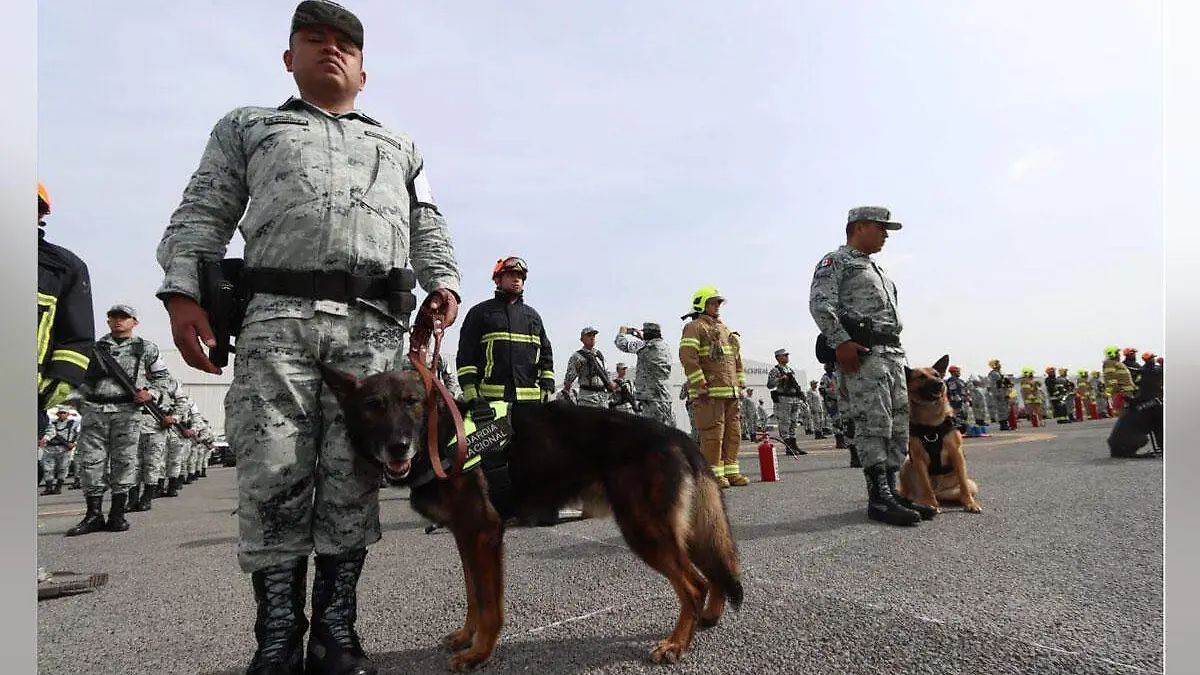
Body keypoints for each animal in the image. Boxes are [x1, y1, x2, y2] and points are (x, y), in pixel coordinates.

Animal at [319, 365, 739, 667]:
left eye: (411, 402)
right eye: (373, 406)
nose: (398, 446)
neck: (441, 438)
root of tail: (677, 436)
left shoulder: (483, 535)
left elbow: (489, 603)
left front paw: (480, 653)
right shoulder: (465, 538)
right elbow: (473, 595)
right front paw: (467, 637)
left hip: (645, 531)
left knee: (694, 584)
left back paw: (676, 644)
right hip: (679, 532)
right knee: (715, 570)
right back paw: (707, 618)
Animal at [902, 355, 984, 511]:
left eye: (937, 375)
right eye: (921, 377)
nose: (940, 383)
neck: (931, 422)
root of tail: (938, 491)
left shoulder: (956, 453)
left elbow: (963, 484)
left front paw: (970, 504)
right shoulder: (918, 458)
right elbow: (926, 485)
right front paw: (931, 504)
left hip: (970, 486)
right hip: (907, 464)